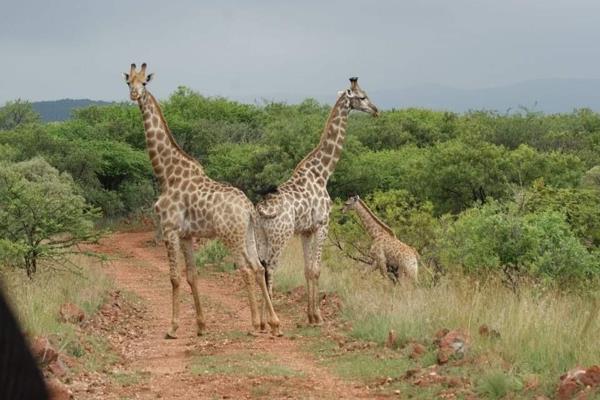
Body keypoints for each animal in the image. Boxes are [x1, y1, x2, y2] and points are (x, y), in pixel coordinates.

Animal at [123, 62, 282, 338]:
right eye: (127, 81)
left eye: (144, 82)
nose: (134, 94)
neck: (167, 173)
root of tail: (249, 208)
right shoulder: (187, 234)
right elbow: (192, 276)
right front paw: (200, 325)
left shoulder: (169, 228)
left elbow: (174, 277)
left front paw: (173, 327)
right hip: (248, 234)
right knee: (259, 267)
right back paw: (272, 323)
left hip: (230, 236)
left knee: (246, 269)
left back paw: (254, 325)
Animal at [254, 77, 378, 324]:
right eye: (362, 97)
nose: (376, 110)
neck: (323, 173)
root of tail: (261, 210)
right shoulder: (323, 224)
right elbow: (317, 269)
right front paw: (318, 316)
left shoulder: (306, 230)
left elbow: (307, 269)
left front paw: (311, 315)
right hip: (280, 237)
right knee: (270, 268)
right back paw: (273, 320)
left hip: (261, 237)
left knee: (261, 268)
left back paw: (262, 322)